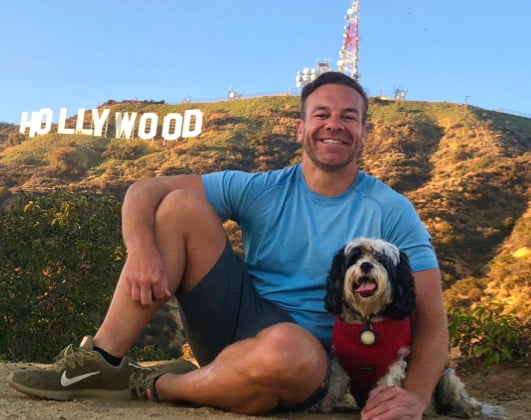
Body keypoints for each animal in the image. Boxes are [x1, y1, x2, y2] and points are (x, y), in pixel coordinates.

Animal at [318, 238, 510, 418]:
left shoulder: (395, 361)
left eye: (381, 259)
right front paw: (322, 405)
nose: (366, 264)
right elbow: (334, 383)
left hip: (448, 378)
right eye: (354, 258)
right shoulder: (340, 361)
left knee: (462, 401)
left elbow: (388, 385)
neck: (368, 319)